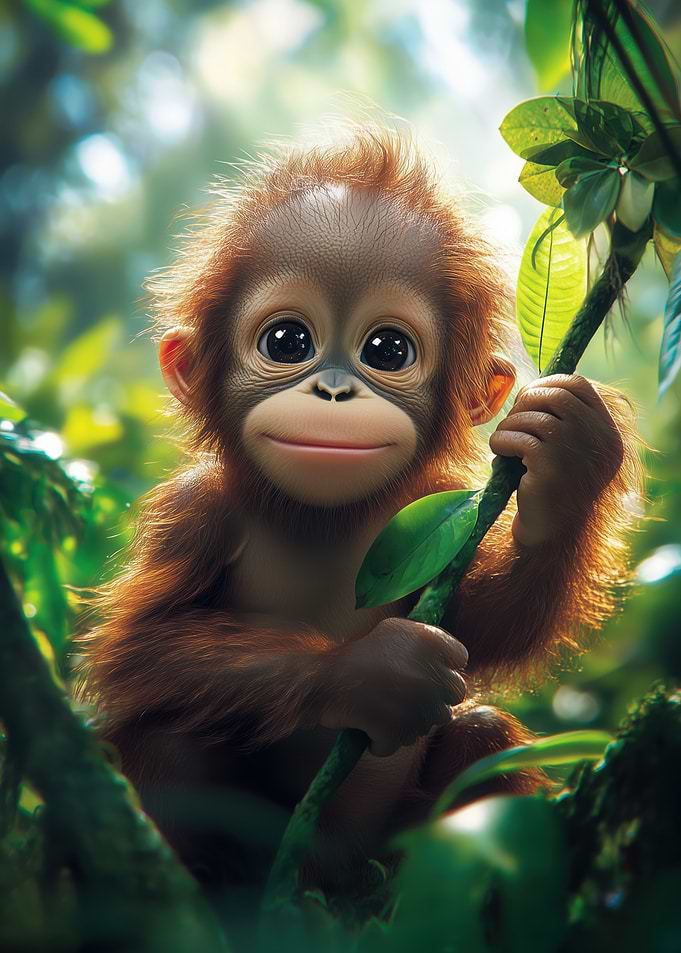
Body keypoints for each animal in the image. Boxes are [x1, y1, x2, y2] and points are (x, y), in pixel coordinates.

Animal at [77, 125, 642, 895]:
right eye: (287, 341)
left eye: (388, 350)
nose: (335, 391)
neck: (323, 516)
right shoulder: (194, 513)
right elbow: (138, 646)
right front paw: (371, 675)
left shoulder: (428, 514)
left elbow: (486, 625)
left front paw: (570, 457)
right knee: (167, 731)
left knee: (483, 734)